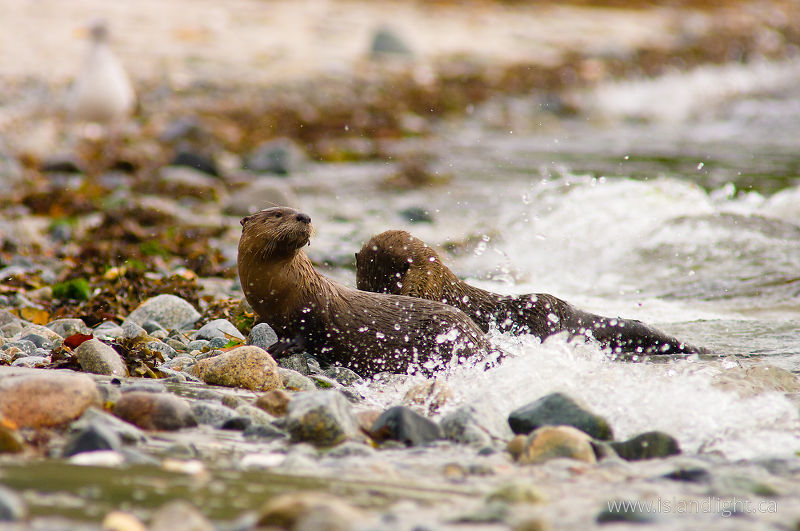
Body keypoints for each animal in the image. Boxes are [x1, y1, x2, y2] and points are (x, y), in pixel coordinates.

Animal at [238, 208, 494, 377]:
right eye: (278, 214)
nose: (305, 216)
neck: (276, 290)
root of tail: (480, 339)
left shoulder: (310, 308)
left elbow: (305, 332)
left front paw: (280, 347)